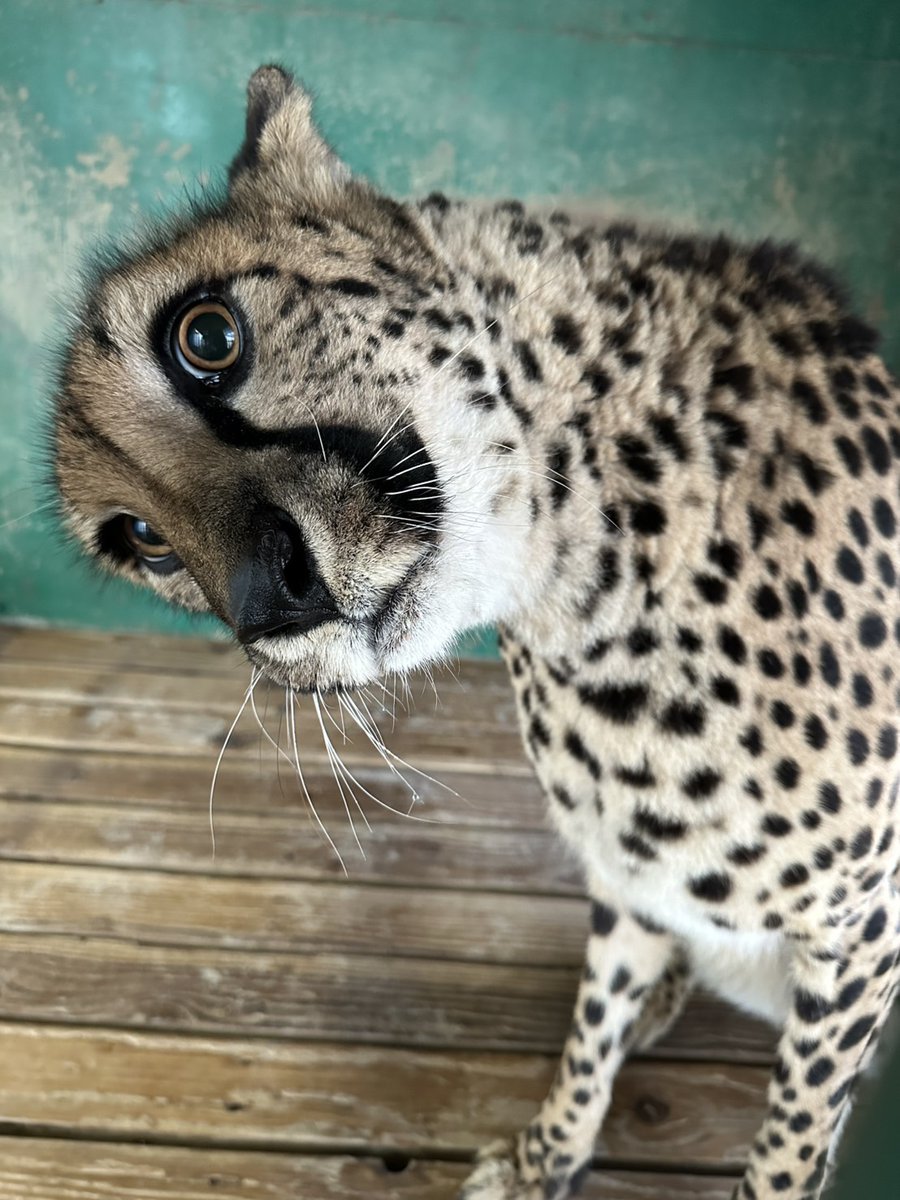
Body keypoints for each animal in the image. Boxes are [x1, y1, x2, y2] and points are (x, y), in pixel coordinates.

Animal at [51, 65, 900, 1200]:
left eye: (207, 336)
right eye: (140, 541)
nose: (268, 601)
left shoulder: (858, 936)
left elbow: (789, 1144)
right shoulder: (633, 882)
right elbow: (592, 1027)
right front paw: (546, 1159)